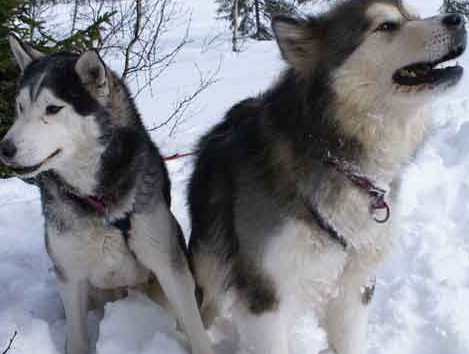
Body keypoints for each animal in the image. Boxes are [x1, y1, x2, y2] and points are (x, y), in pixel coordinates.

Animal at [0, 36, 214, 354]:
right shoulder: (71, 276)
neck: (98, 201)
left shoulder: (167, 265)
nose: (5, 149)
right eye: (20, 106)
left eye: (53, 109)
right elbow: (77, 338)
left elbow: (194, 327)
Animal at [188, 1, 466, 352]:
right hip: (210, 272)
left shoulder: (354, 286)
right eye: (387, 26)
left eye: (413, 16)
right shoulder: (265, 291)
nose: (458, 18)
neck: (334, 153)